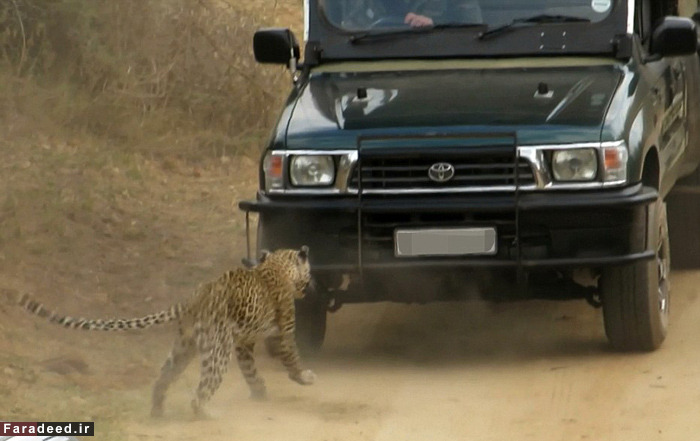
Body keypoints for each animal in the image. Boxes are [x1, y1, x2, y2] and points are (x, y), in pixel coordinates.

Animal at [4, 246, 318, 418]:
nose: (310, 285)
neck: (278, 265)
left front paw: (260, 392)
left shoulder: (244, 343)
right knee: (200, 392)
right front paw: (305, 377)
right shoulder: (282, 332)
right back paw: (206, 414)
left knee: (162, 379)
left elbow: (251, 370)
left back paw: (157, 412)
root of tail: (197, 295)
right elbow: (291, 358)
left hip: (185, 347)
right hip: (217, 350)